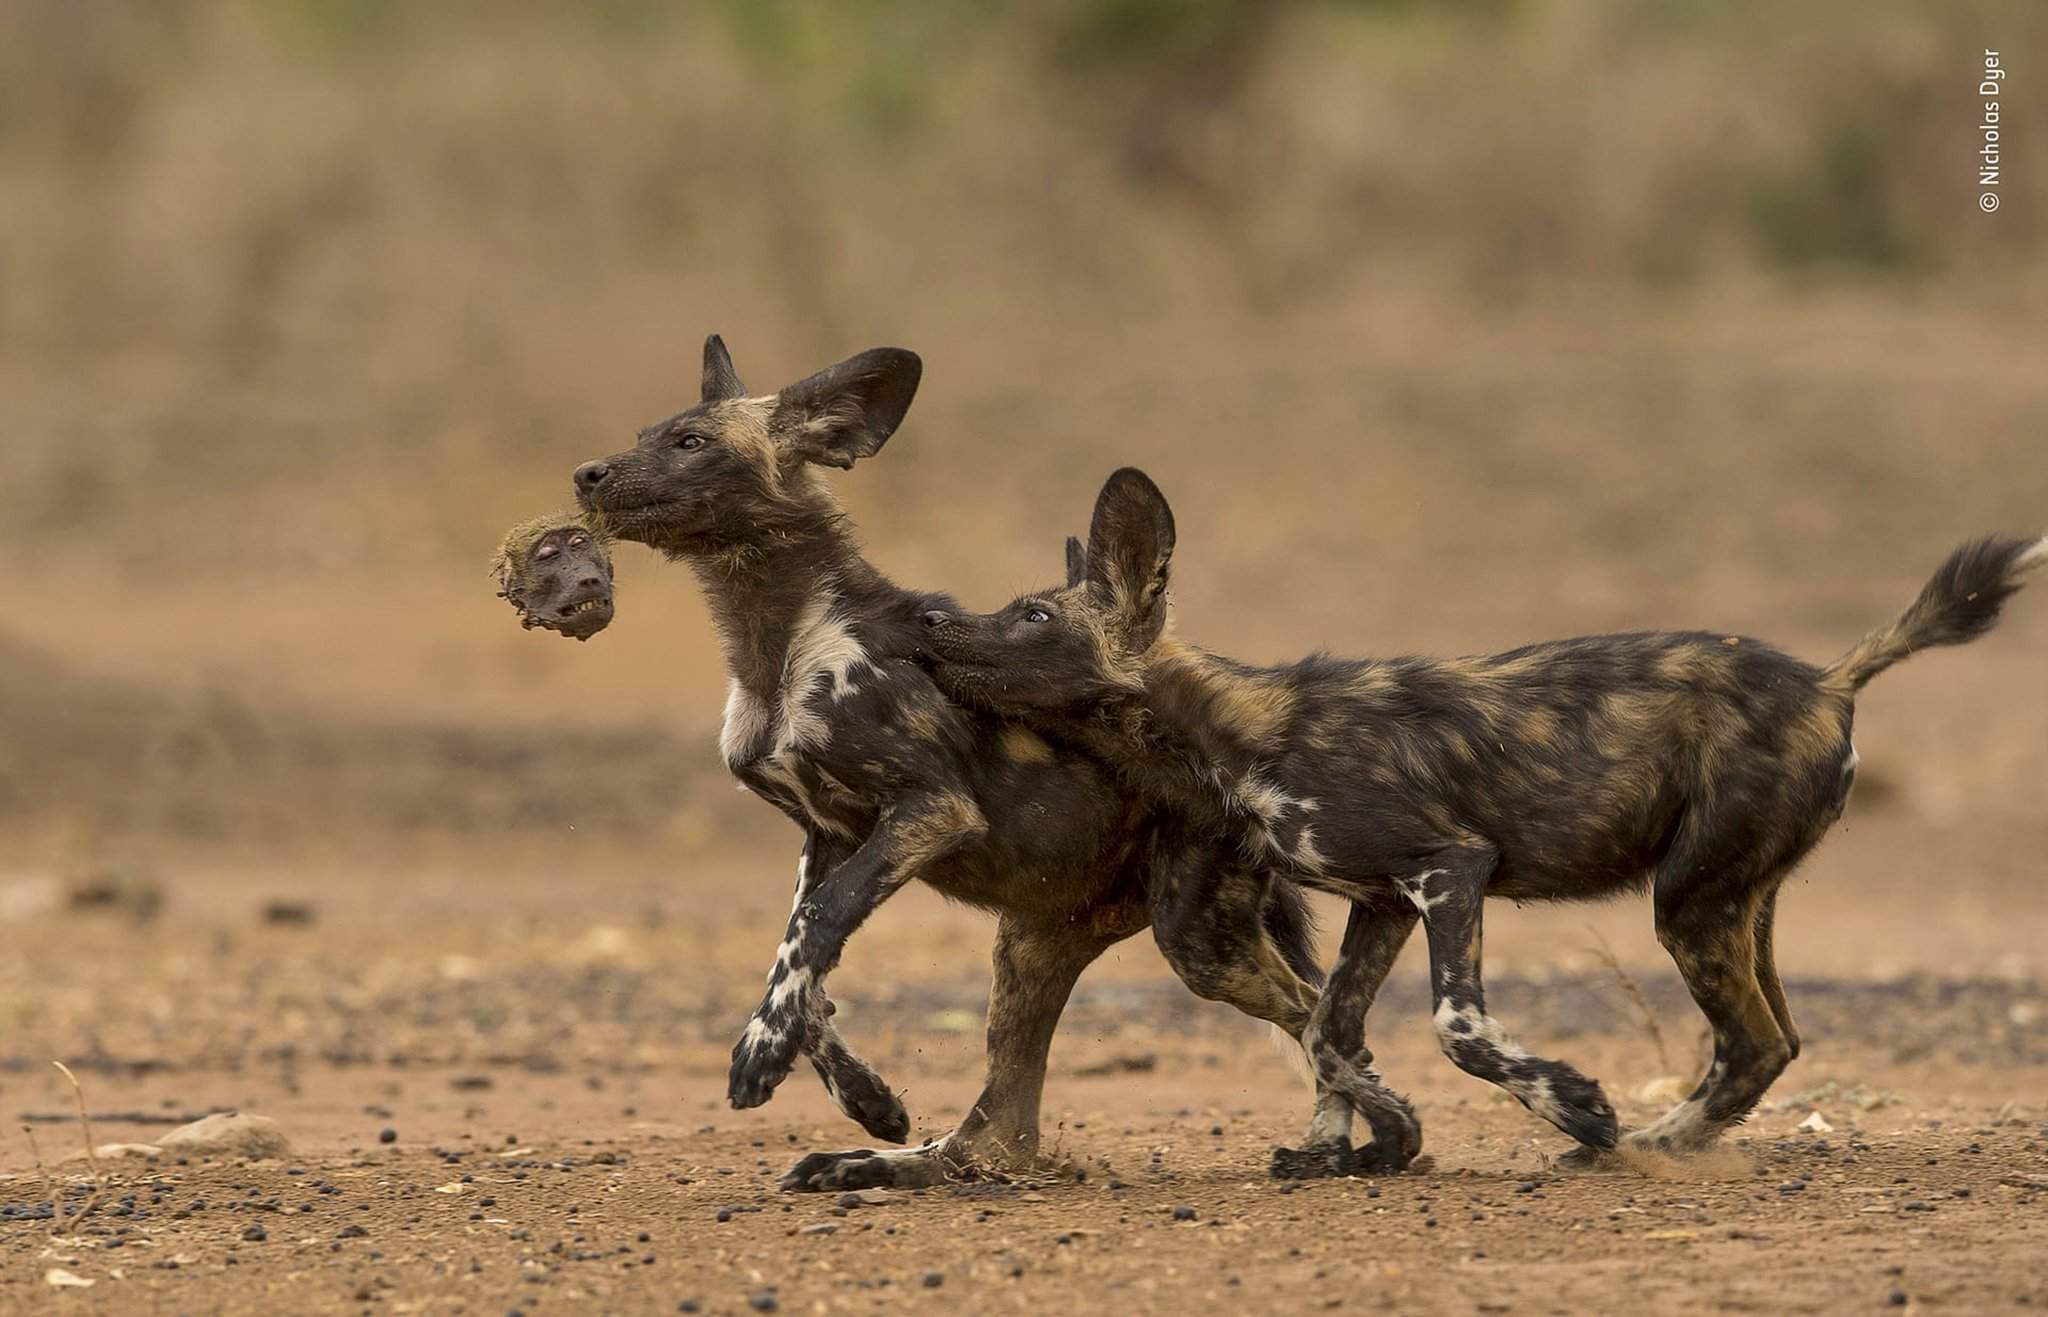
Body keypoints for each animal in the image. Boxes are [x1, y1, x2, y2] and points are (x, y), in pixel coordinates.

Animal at [565, 340, 1327, 1196]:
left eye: (690, 441)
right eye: (644, 434)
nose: (586, 473)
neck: (780, 644)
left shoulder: (929, 810)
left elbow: (820, 922)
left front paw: (760, 1056)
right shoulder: (829, 834)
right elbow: (802, 961)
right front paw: (863, 1095)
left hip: (1195, 940)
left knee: (1316, 1010)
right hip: (1034, 944)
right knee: (1002, 1133)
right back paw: (873, 1161)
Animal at [925, 466, 2048, 1171]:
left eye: (1031, 616)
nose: (930, 615)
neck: (1233, 734)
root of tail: (1828, 678)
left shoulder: (1448, 868)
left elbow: (1455, 1025)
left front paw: (1574, 1101)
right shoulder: (1380, 901)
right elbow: (1329, 1031)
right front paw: (1352, 1147)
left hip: (1686, 904)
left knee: (1753, 1043)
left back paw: (1633, 1148)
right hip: (1734, 899)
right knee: (1773, 1040)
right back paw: (1655, 1145)